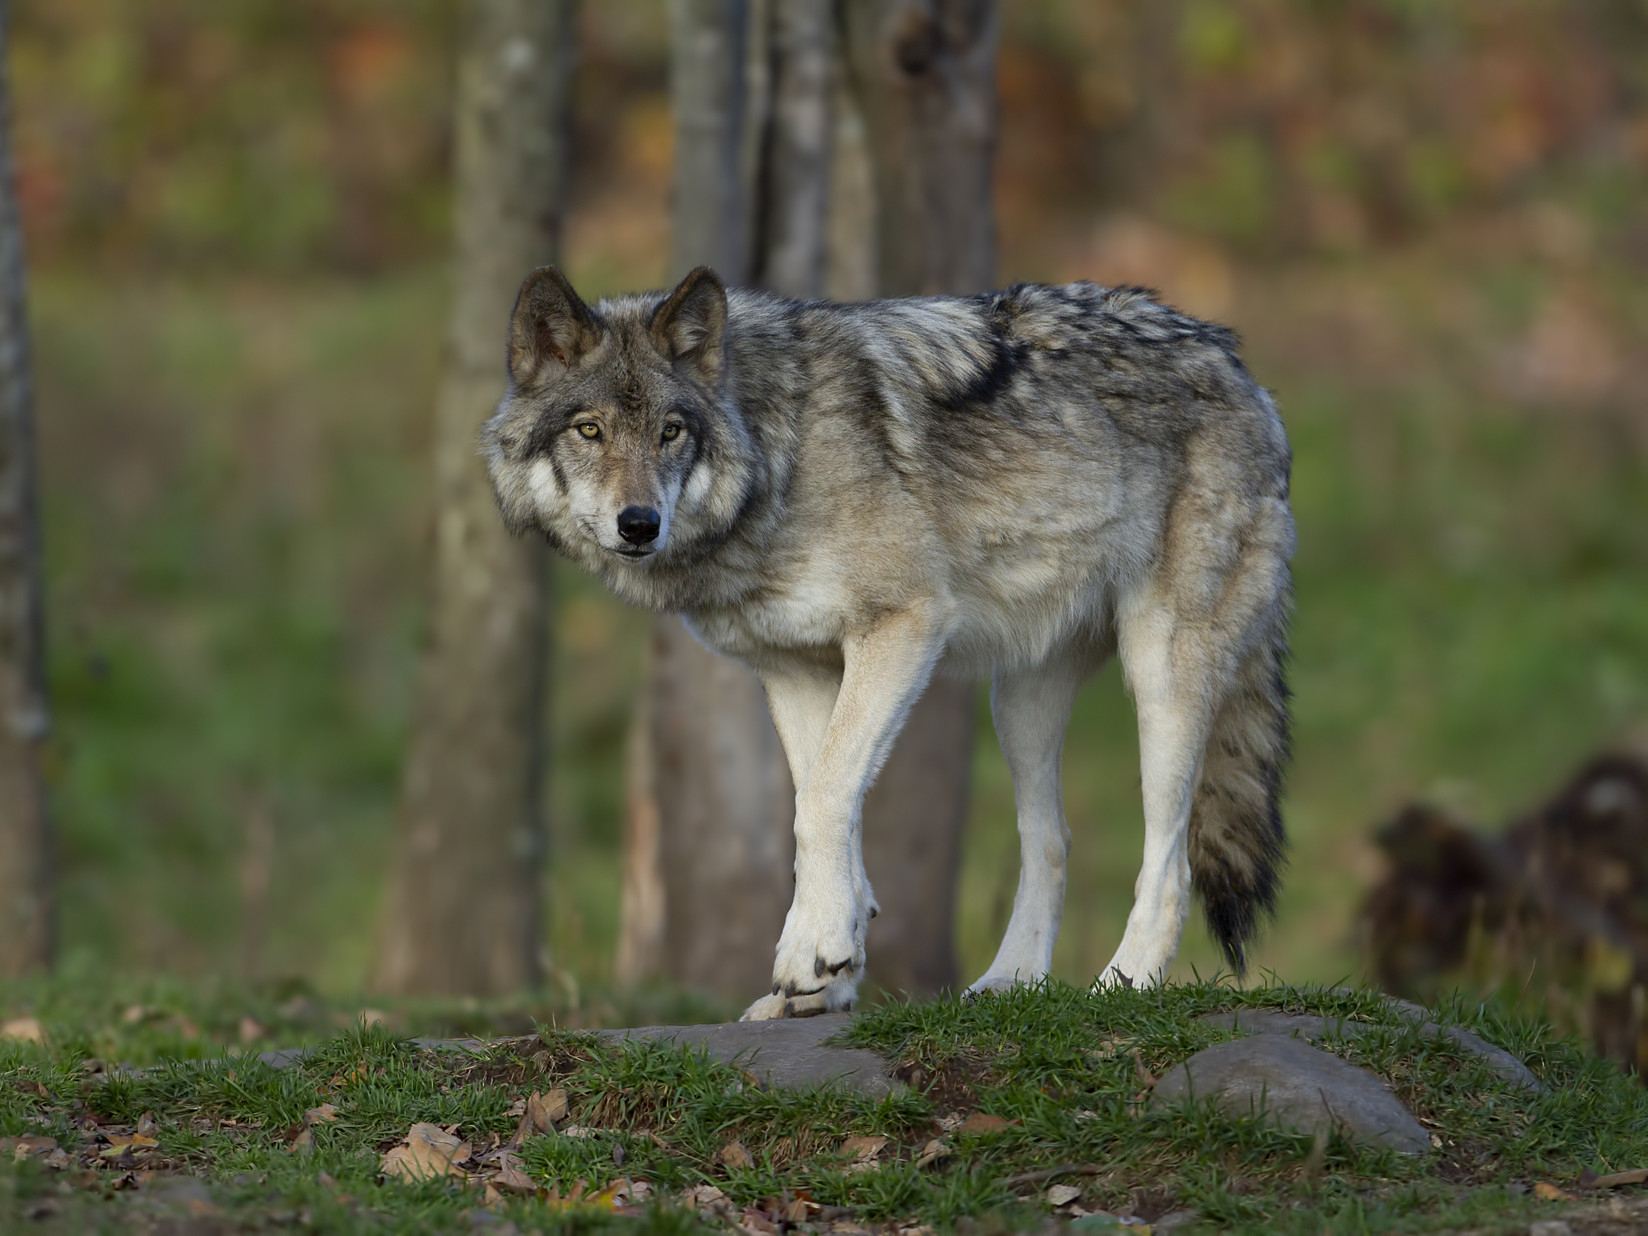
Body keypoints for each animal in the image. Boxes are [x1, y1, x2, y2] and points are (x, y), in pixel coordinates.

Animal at [481, 266, 1292, 1021]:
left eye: (670, 432)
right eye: (589, 431)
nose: (640, 523)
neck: (779, 457)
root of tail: (1239, 364)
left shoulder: (904, 626)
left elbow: (824, 800)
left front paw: (809, 955)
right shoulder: (796, 669)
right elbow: (824, 807)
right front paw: (828, 970)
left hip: (1161, 679)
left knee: (1169, 861)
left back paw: (1124, 985)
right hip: (1018, 705)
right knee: (1051, 841)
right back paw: (1008, 984)